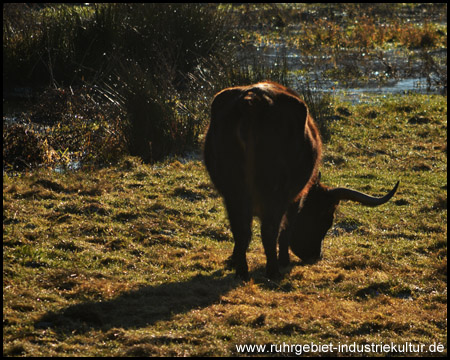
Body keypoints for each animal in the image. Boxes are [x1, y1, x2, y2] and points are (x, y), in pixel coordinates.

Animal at [204, 81, 398, 278]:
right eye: (327, 216)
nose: (315, 255)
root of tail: (253, 100)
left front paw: (232, 260)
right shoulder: (294, 199)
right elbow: (285, 228)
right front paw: (284, 260)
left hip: (233, 191)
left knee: (241, 230)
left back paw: (242, 271)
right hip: (273, 193)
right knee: (268, 231)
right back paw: (273, 271)